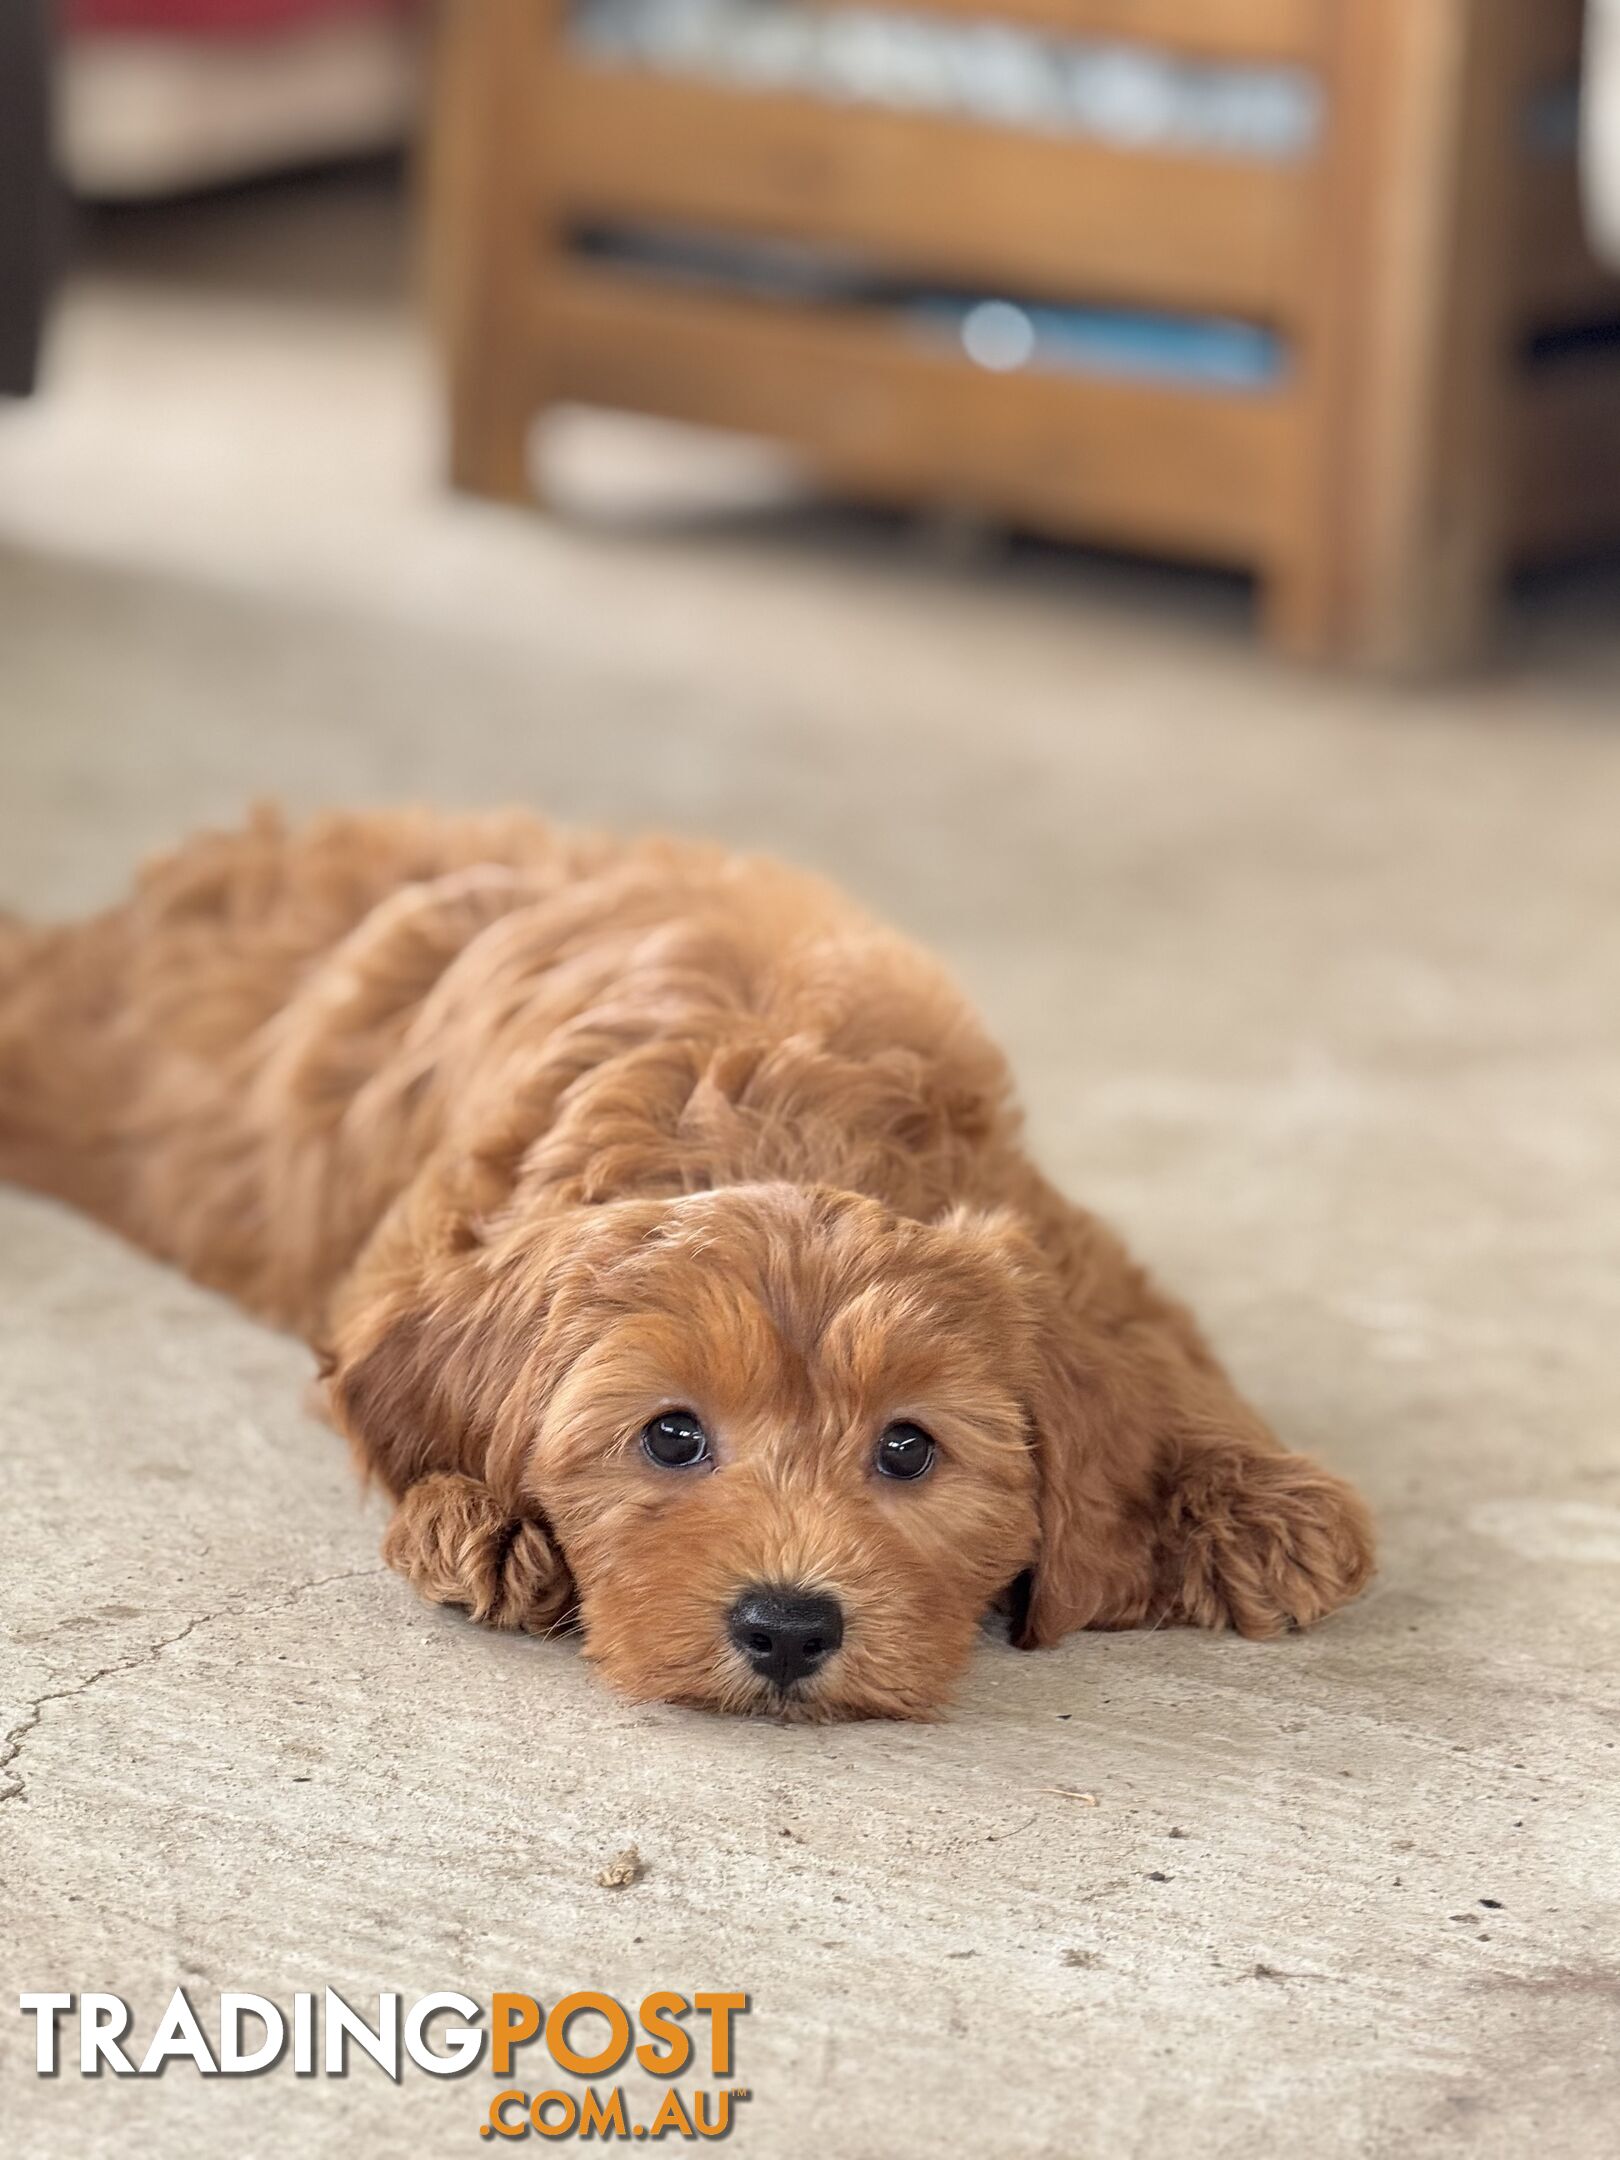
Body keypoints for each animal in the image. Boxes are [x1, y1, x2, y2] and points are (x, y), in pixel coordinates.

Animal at [0, 812, 1373, 1719]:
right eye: (670, 1436)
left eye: (909, 1448)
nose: (787, 1626)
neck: (766, 1093)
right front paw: (481, 1518)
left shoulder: (1071, 1239)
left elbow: (1161, 1350)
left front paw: (1256, 1506)